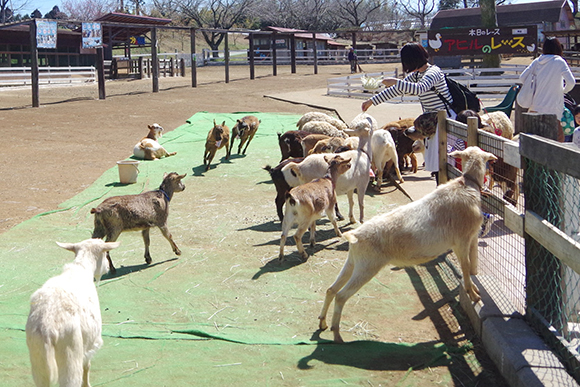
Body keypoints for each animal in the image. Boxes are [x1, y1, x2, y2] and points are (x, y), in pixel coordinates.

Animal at [25, 239, 119, 387]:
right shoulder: (89, 343)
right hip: (70, 351)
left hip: (38, 356)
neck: (81, 269)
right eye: (105, 254)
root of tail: (47, 328)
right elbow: (87, 366)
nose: (108, 269)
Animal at [318, 147, 498, 344]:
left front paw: (474, 291)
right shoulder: (461, 241)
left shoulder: (470, 239)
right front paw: (473, 294)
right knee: (341, 296)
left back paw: (322, 323)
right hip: (366, 267)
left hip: (353, 263)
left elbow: (471, 267)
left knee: (331, 289)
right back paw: (337, 335)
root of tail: (354, 236)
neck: (467, 184)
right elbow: (465, 268)